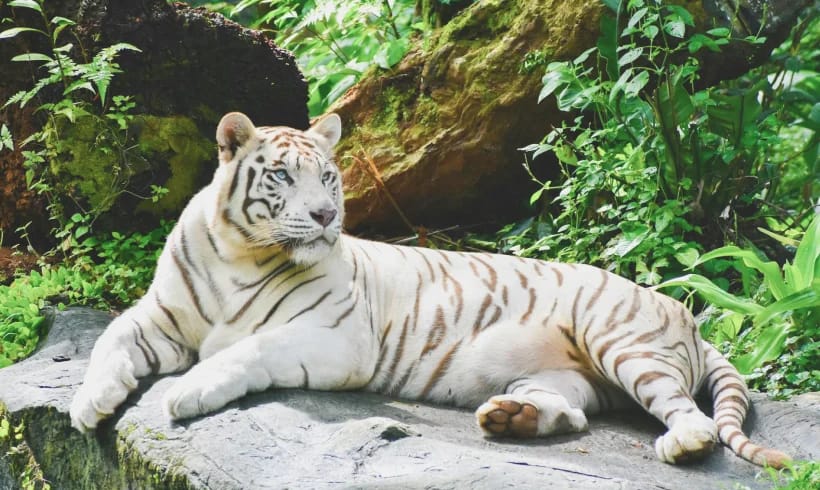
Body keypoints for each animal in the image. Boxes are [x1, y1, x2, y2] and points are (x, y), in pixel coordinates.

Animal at [69, 111, 790, 469]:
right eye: (282, 176)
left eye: (328, 178)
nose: (326, 216)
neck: (240, 253)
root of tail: (687, 315)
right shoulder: (160, 315)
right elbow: (109, 341)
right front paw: (88, 404)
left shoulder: (336, 338)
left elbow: (248, 350)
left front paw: (186, 393)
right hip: (563, 376)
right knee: (575, 411)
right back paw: (510, 418)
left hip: (621, 341)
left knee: (692, 416)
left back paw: (681, 446)